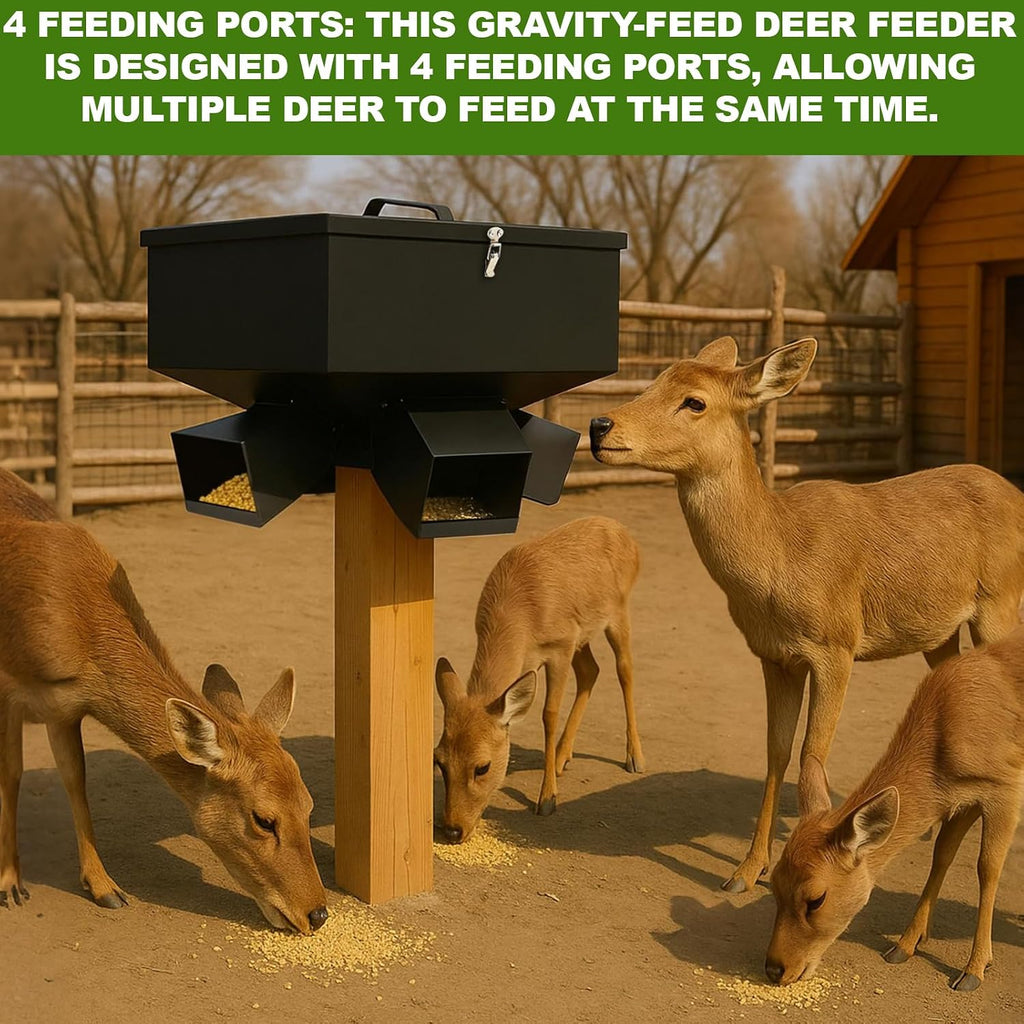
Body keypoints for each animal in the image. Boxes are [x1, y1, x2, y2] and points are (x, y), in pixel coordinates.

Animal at [0, 467, 328, 933]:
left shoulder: (65, 707)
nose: (317, 913)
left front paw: (106, 888)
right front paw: (10, 884)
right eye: (264, 820)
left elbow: (75, 778)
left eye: (309, 804)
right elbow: (11, 774)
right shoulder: (7, 688)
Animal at [433, 516, 644, 842]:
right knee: (591, 671)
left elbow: (548, 713)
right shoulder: (566, 642)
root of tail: (627, 537)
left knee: (625, 671)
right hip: (583, 635)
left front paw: (547, 800)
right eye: (439, 760)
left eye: (482, 767)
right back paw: (561, 757)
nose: (453, 830)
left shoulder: (559, 648)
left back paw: (634, 758)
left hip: (618, 613)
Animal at [590, 336, 1024, 893]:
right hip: (939, 633)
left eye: (694, 401)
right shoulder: (774, 656)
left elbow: (811, 753)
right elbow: (776, 752)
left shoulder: (837, 645)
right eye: (655, 379)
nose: (600, 426)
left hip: (999, 602)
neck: (782, 559)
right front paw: (746, 870)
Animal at [767, 625, 1024, 991]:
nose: (775, 968)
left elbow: (987, 868)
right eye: (773, 881)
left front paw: (972, 970)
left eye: (816, 898)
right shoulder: (962, 798)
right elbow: (942, 853)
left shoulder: (1005, 788)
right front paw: (904, 945)